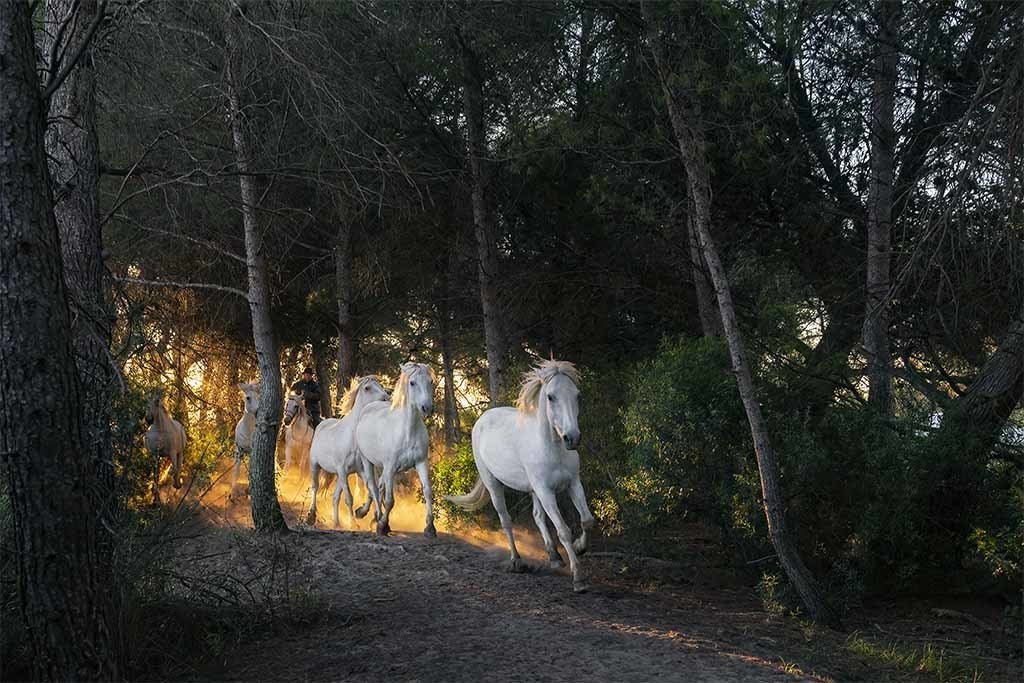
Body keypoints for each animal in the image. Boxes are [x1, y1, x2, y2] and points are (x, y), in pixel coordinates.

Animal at [305, 376, 389, 527]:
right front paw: (354, 523)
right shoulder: (343, 470)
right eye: (367, 388)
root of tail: (322, 423)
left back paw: (337, 523)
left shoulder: (359, 471)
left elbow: (370, 491)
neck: (352, 438)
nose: (386, 398)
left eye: (380, 385)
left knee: (335, 497)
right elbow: (349, 498)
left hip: (339, 476)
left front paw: (363, 514)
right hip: (315, 465)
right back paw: (311, 516)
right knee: (315, 487)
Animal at [354, 362, 436, 537]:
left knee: (378, 486)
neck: (407, 432)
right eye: (412, 383)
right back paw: (368, 515)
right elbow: (390, 500)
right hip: (368, 461)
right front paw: (382, 526)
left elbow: (427, 492)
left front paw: (430, 528)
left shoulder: (421, 463)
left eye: (431, 381)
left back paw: (373, 516)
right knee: (372, 486)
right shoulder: (390, 467)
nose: (426, 408)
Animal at [446, 360, 594, 593]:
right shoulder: (545, 491)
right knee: (505, 520)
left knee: (538, 516)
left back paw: (554, 558)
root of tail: (483, 418)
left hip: (534, 490)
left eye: (577, 395)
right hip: (494, 484)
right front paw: (579, 578)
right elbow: (563, 530)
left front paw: (580, 548)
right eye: (550, 396)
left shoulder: (573, 484)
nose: (572, 438)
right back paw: (517, 561)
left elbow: (587, 520)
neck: (552, 448)